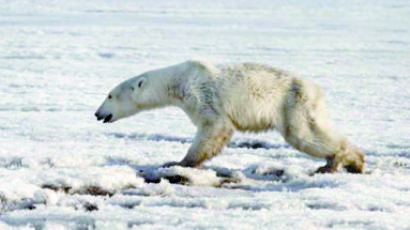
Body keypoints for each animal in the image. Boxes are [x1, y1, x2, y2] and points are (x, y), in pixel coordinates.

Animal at [96, 60, 366, 173]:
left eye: (109, 95)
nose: (98, 114)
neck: (178, 80)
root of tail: (316, 89)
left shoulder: (201, 94)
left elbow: (214, 126)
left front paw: (178, 162)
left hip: (292, 103)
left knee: (304, 134)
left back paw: (339, 161)